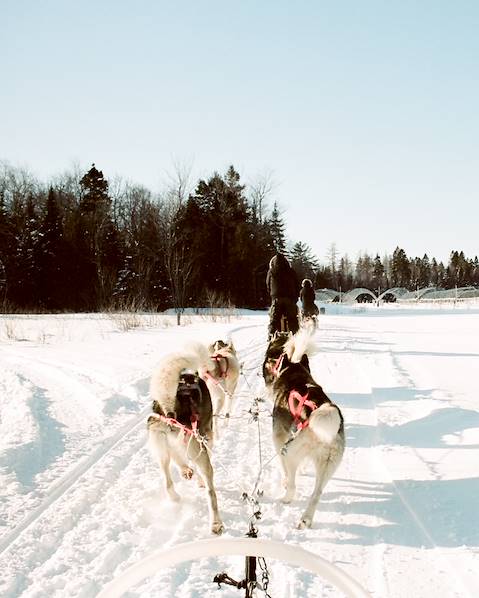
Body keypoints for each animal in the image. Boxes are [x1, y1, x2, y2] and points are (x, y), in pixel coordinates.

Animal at [147, 342, 224, 536]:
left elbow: (177, 456)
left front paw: (185, 470)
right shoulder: (205, 440)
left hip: (161, 449)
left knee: (167, 479)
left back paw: (176, 492)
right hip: (200, 453)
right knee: (211, 494)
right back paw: (216, 523)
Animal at [264, 330, 344, 532]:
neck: (296, 377)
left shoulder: (279, 440)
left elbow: (283, 466)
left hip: (291, 452)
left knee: (293, 482)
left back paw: (287, 498)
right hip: (327, 466)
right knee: (316, 494)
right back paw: (306, 519)